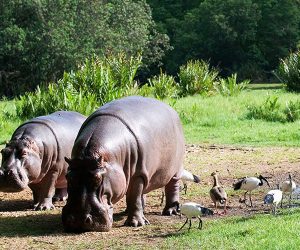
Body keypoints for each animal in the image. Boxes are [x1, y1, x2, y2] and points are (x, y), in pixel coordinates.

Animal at [62, 95, 185, 232]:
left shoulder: (138, 175)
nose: (79, 220)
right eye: (68, 177)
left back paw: (170, 211)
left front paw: (136, 224)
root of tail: (171, 109)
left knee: (172, 186)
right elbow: (134, 197)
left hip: (175, 169)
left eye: (98, 179)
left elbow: (135, 197)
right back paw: (127, 212)